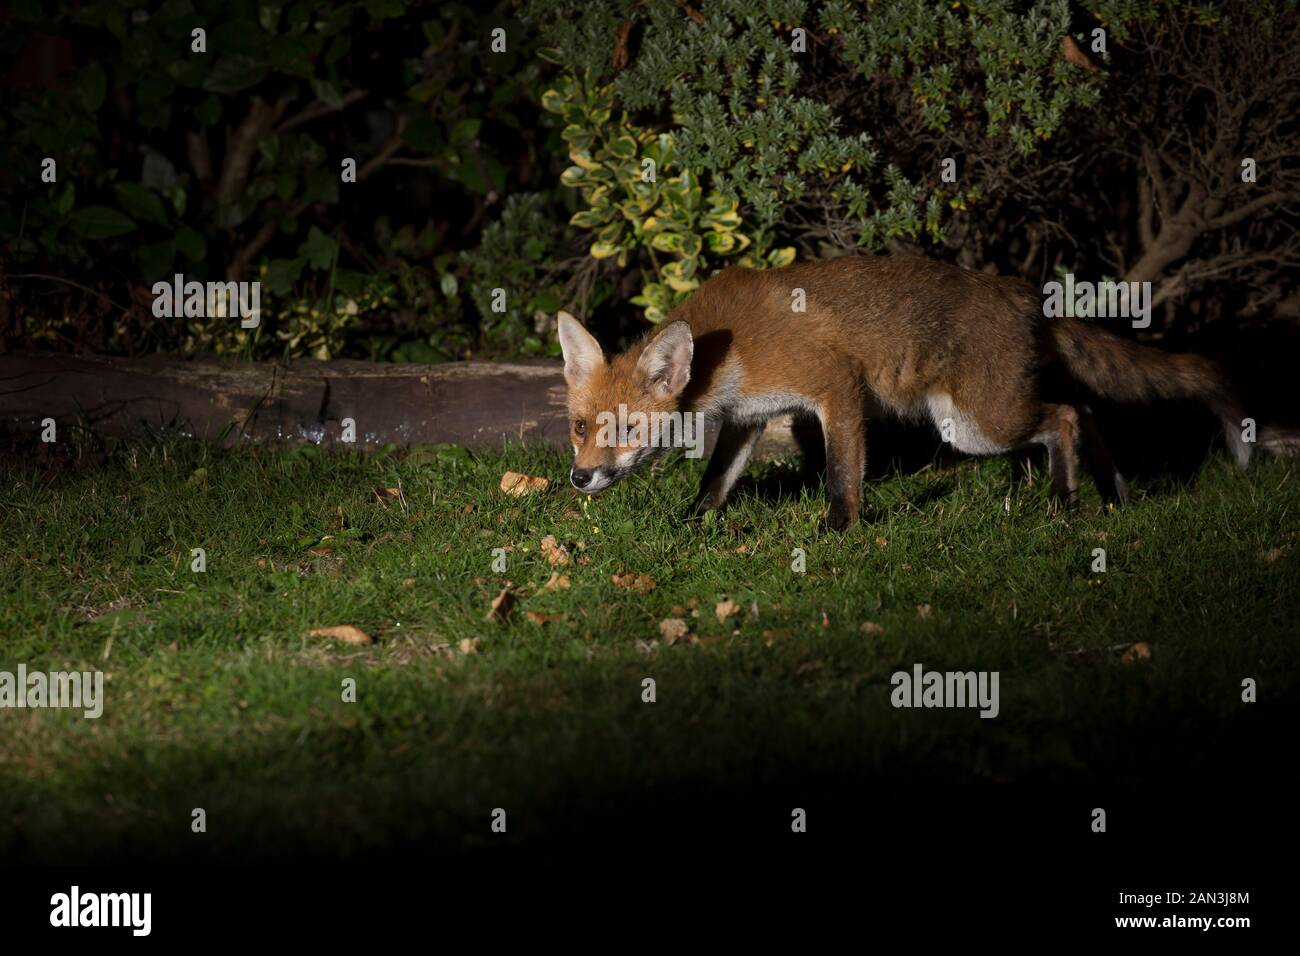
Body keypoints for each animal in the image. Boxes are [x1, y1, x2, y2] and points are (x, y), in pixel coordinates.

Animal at [559, 256, 1289, 530]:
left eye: (626, 431)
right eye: (579, 427)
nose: (578, 479)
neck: (727, 351)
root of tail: (1026, 296)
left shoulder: (835, 386)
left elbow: (842, 474)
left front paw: (839, 529)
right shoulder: (750, 417)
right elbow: (715, 480)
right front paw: (692, 523)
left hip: (977, 424)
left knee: (1064, 415)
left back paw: (1063, 499)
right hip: (977, 420)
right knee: (1085, 410)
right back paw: (1111, 494)